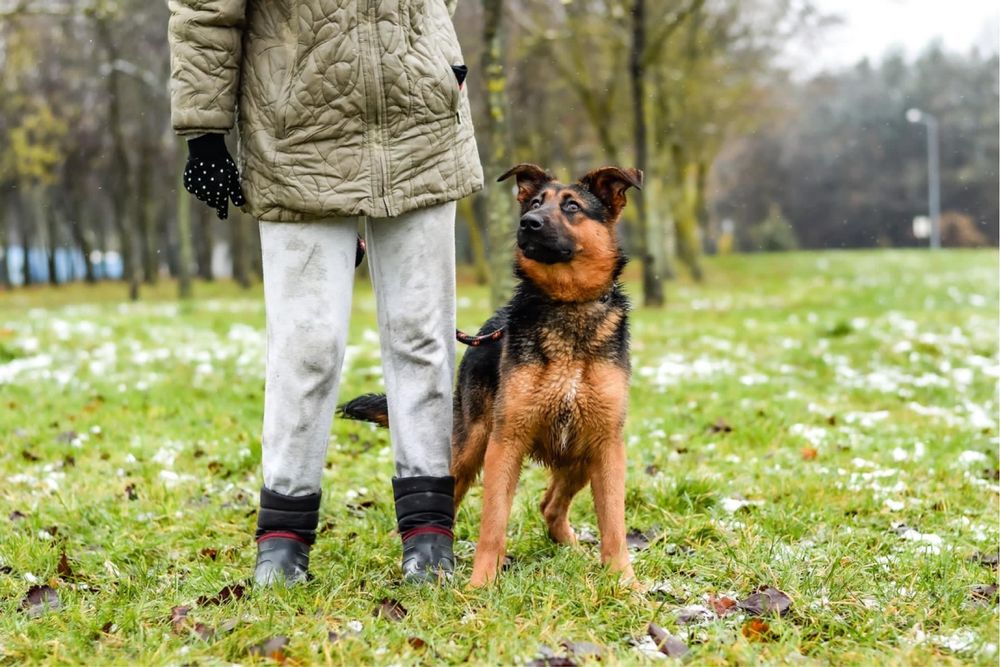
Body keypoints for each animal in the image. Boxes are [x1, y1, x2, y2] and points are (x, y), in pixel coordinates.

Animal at [342, 164, 640, 588]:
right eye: (534, 203)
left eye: (572, 206)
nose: (528, 223)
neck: (565, 305)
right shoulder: (506, 441)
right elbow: (493, 523)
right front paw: (481, 583)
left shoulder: (607, 444)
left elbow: (614, 524)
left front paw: (625, 583)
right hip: (468, 449)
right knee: (448, 501)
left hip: (583, 453)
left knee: (550, 505)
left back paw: (570, 548)